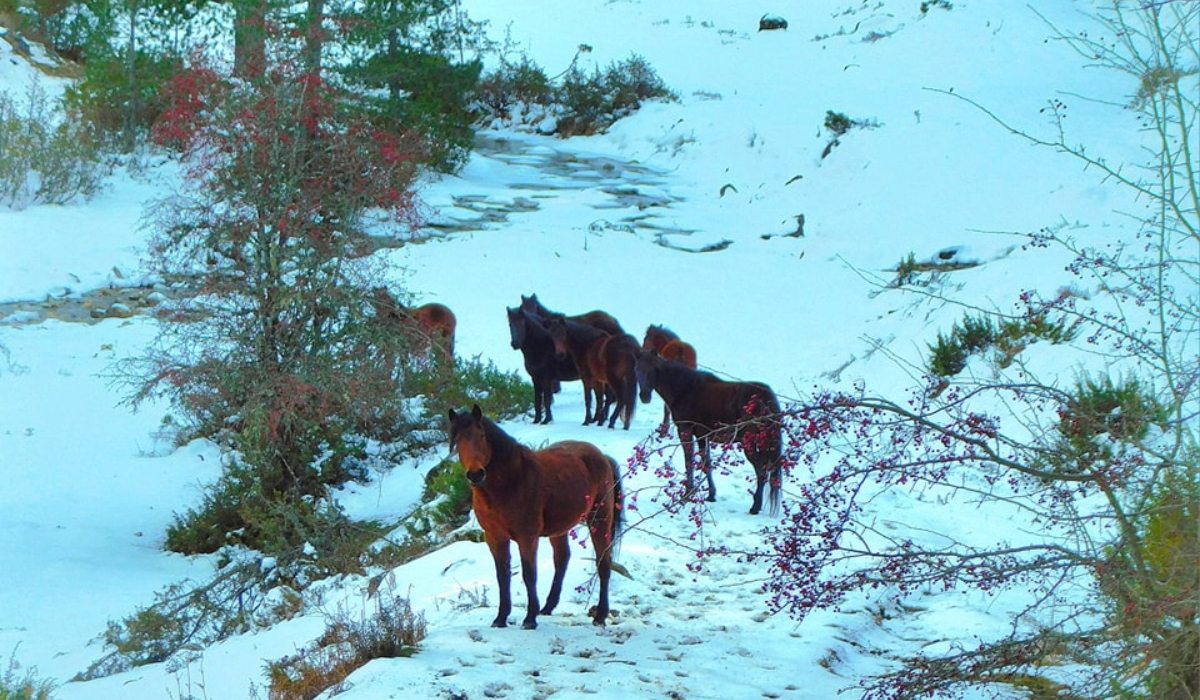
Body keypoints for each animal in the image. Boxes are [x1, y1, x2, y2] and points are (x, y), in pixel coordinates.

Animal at [448, 405, 624, 629]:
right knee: (561, 559)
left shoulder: (527, 537)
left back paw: (600, 615)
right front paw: (501, 618)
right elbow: (502, 576)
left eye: (481, 435)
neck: (511, 482)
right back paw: (548, 607)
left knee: (603, 564)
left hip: (599, 521)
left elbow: (529, 574)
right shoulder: (495, 537)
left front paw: (529, 618)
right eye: (458, 440)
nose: (476, 474)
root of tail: (602, 456)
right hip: (560, 529)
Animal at [633, 350, 782, 513]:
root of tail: (766, 400)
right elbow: (706, 464)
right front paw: (711, 495)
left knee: (761, 470)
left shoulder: (685, 431)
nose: (644, 396)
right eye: (637, 370)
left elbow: (689, 462)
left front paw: (687, 494)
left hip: (750, 442)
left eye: (653, 370)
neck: (684, 389)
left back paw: (755, 507)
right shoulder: (702, 436)